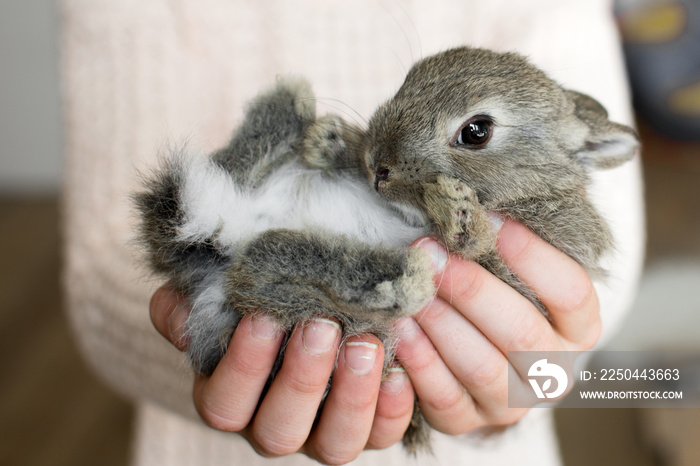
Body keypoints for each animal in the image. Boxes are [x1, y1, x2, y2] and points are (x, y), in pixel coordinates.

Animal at [133, 47, 640, 456]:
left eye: (477, 131)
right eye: (410, 78)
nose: (379, 165)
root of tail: (223, 236)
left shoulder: (523, 272)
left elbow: (476, 245)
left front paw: (457, 210)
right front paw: (333, 141)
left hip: (320, 320)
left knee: (259, 264)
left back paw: (398, 278)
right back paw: (291, 104)